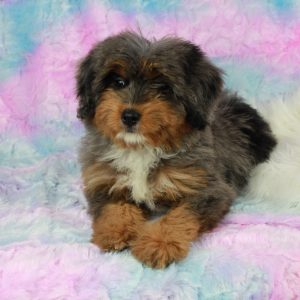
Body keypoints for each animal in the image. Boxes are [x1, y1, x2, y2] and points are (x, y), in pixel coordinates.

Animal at [75, 31, 276, 268]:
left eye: (163, 87)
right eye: (118, 82)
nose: (129, 116)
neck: (142, 148)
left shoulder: (208, 189)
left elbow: (179, 215)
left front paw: (159, 242)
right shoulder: (104, 181)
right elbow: (114, 207)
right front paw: (115, 231)